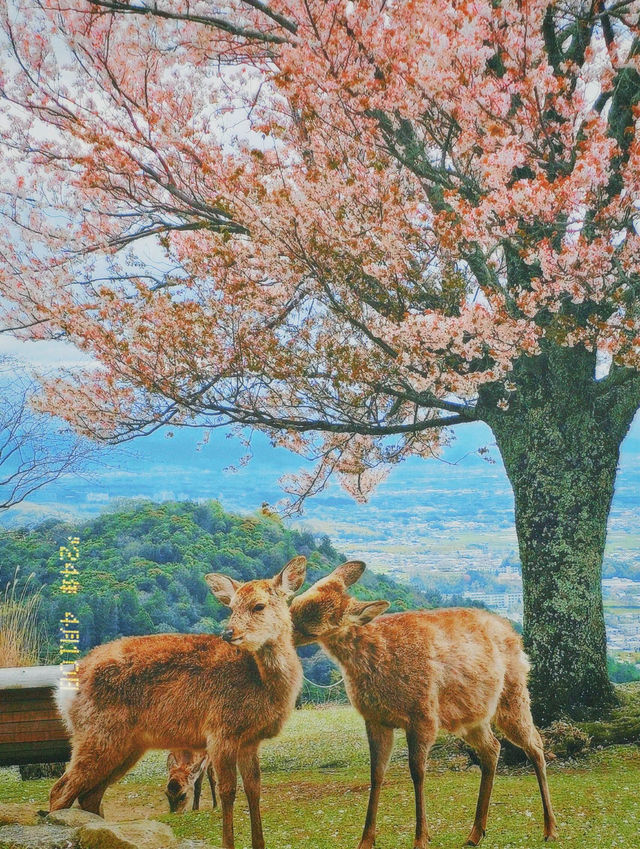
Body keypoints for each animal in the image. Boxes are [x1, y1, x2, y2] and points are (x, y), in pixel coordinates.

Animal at [52, 556, 308, 848]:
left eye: (259, 605)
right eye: (231, 607)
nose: (228, 633)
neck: (263, 686)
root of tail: (64, 688)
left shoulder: (250, 740)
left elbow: (254, 789)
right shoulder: (220, 731)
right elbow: (228, 790)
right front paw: (227, 842)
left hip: (125, 745)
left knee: (90, 795)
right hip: (96, 734)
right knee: (60, 790)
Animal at [290, 564, 556, 848]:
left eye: (313, 623)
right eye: (295, 603)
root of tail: (516, 638)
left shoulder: (423, 714)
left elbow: (417, 772)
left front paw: (421, 838)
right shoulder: (375, 719)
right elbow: (376, 774)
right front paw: (365, 841)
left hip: (513, 696)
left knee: (535, 744)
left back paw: (550, 828)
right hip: (470, 716)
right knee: (492, 748)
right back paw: (475, 833)